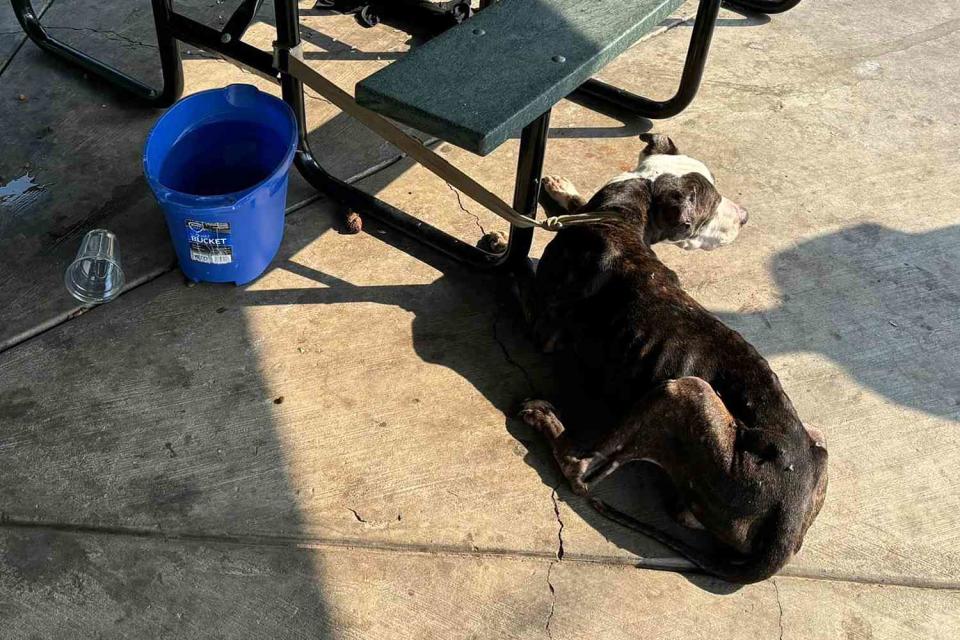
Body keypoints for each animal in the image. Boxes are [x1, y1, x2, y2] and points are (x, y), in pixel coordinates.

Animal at [516, 132, 824, 584]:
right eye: (708, 210)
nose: (746, 216)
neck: (619, 216)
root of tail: (786, 523)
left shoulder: (544, 330)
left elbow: (516, 273)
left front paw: (498, 245)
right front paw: (562, 189)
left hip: (682, 391)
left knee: (581, 469)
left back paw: (545, 419)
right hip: (816, 439)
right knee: (684, 513)